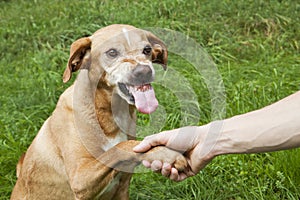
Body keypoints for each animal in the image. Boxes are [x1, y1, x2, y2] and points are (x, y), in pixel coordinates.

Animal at [11, 24, 188, 199]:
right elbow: (119, 148)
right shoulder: (80, 179)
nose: (144, 71)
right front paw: (165, 153)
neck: (110, 113)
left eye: (147, 49)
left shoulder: (122, 188)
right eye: (112, 52)